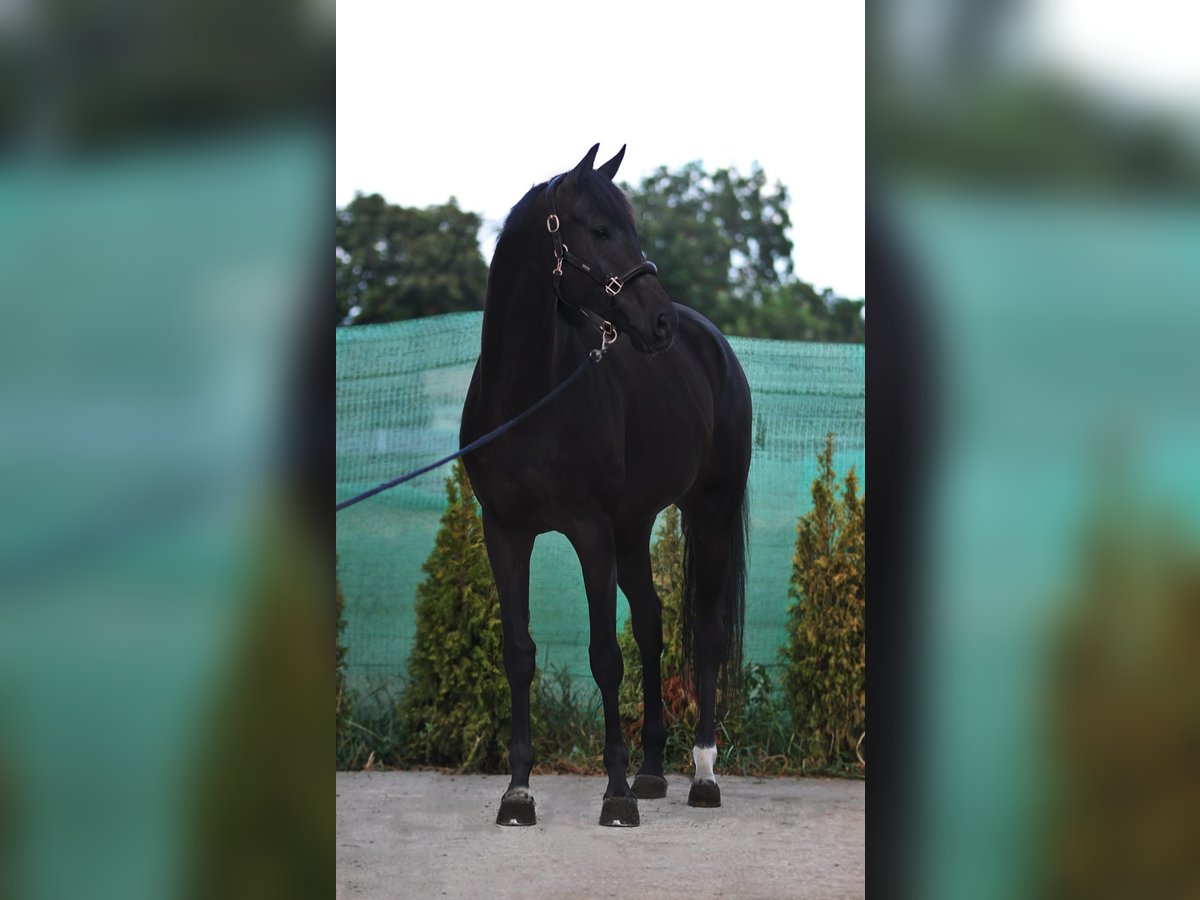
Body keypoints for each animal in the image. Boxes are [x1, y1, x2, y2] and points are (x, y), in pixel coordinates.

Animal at [460, 144, 748, 830]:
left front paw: (614, 794)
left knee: (705, 631)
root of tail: (714, 345)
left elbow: (603, 656)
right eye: (599, 229)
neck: (529, 396)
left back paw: (702, 774)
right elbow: (519, 652)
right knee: (652, 623)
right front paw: (518, 792)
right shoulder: (504, 532)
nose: (660, 322)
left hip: (710, 513)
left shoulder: (589, 531)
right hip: (633, 527)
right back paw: (652, 771)